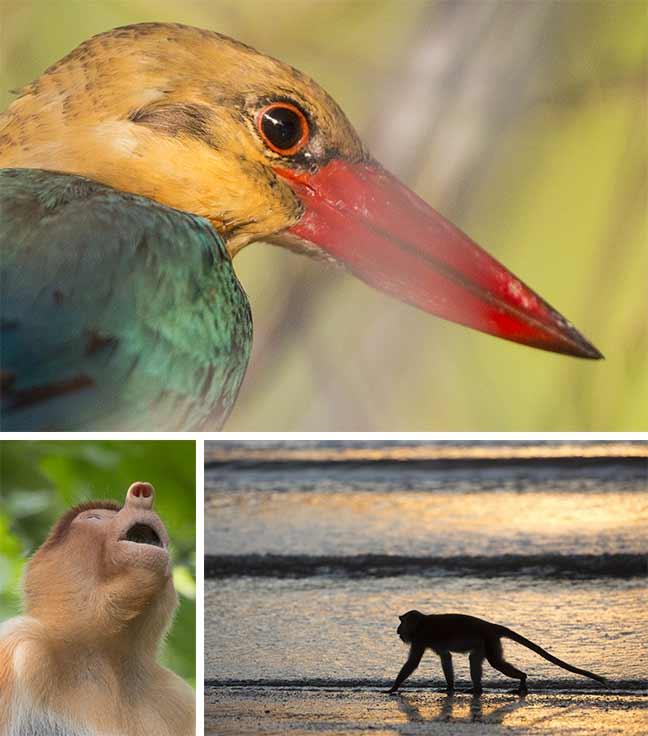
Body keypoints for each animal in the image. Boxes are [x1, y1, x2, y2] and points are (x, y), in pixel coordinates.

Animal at [390, 608, 608, 696]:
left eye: (401, 622)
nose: (397, 629)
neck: (421, 623)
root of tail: (490, 626)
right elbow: (446, 657)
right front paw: (450, 687)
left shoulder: (420, 637)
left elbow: (413, 663)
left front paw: (393, 688)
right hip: (486, 642)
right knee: (475, 659)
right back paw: (477, 689)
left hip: (489, 640)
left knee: (495, 662)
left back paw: (522, 679)